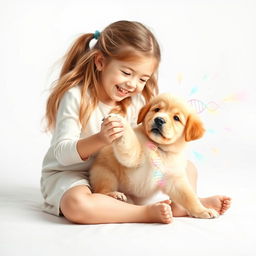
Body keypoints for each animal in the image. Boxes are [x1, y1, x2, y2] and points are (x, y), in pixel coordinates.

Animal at [89, 93, 218, 218]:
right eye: (157, 109)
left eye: (176, 118)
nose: (159, 120)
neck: (158, 148)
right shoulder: (134, 157)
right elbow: (129, 141)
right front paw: (118, 121)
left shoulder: (174, 179)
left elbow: (189, 197)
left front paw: (202, 210)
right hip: (104, 174)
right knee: (101, 192)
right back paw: (114, 194)